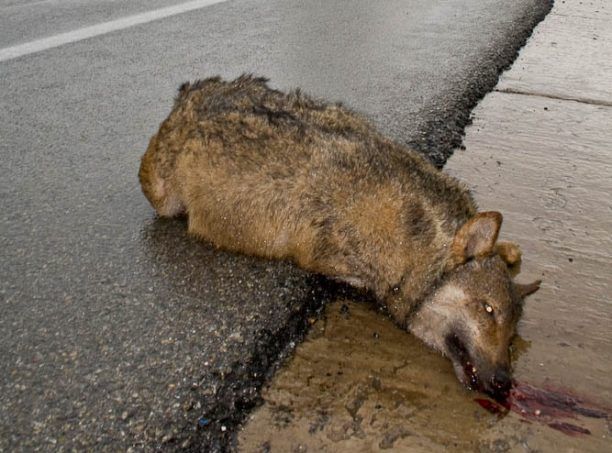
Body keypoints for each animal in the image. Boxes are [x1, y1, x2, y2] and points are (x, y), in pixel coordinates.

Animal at [140, 74, 540, 400]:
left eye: (513, 333)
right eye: (488, 310)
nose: (505, 382)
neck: (417, 238)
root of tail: (187, 95)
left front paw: (508, 249)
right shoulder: (333, 257)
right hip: (164, 197)